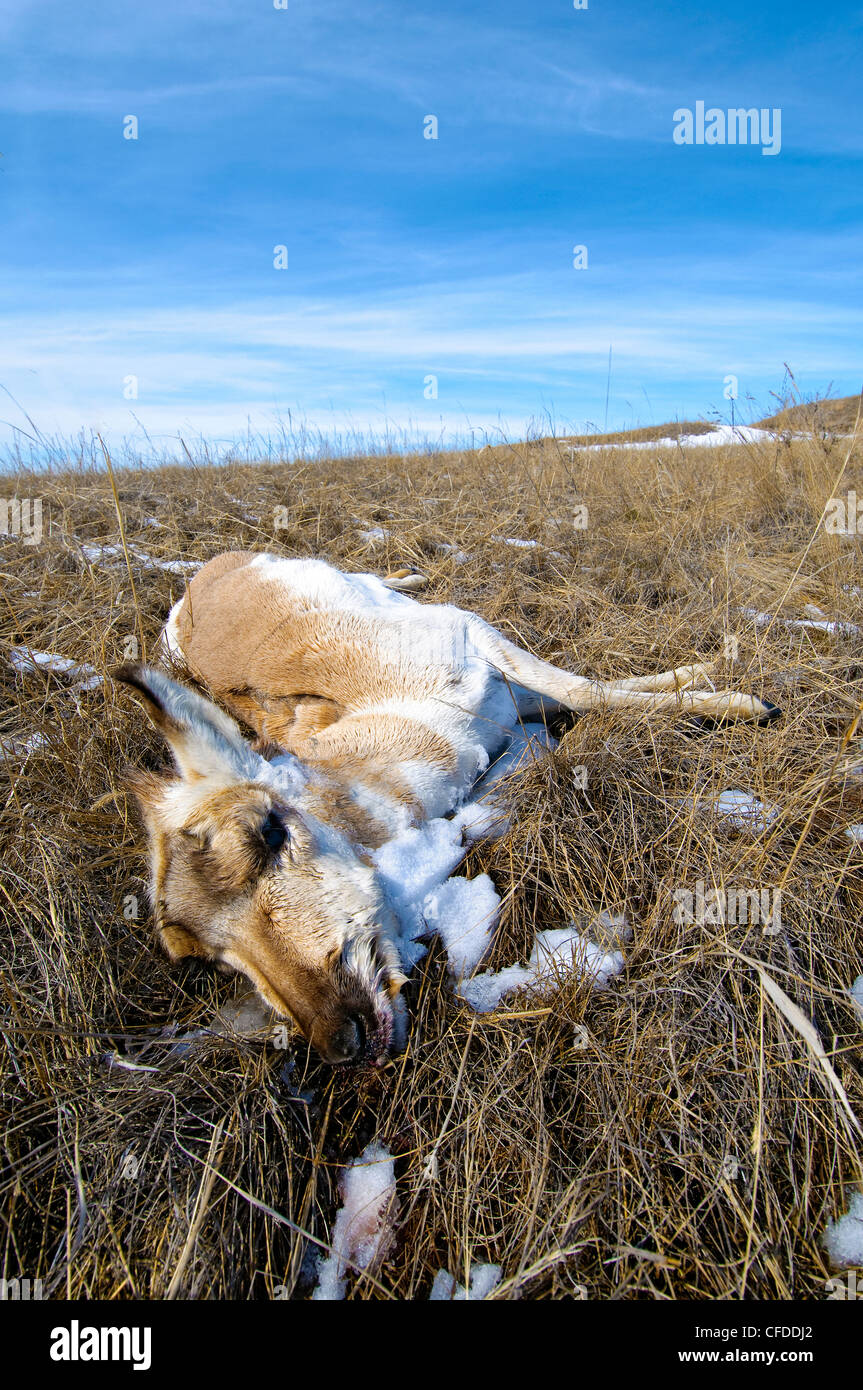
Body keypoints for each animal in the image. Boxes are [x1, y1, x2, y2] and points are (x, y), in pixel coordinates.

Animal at [114, 550, 778, 1061]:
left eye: (269, 833)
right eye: (204, 959)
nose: (339, 1042)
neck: (392, 715)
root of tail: (196, 586)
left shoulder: (475, 636)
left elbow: (585, 688)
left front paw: (734, 693)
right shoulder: (508, 708)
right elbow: (587, 697)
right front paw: (712, 682)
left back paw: (408, 575)